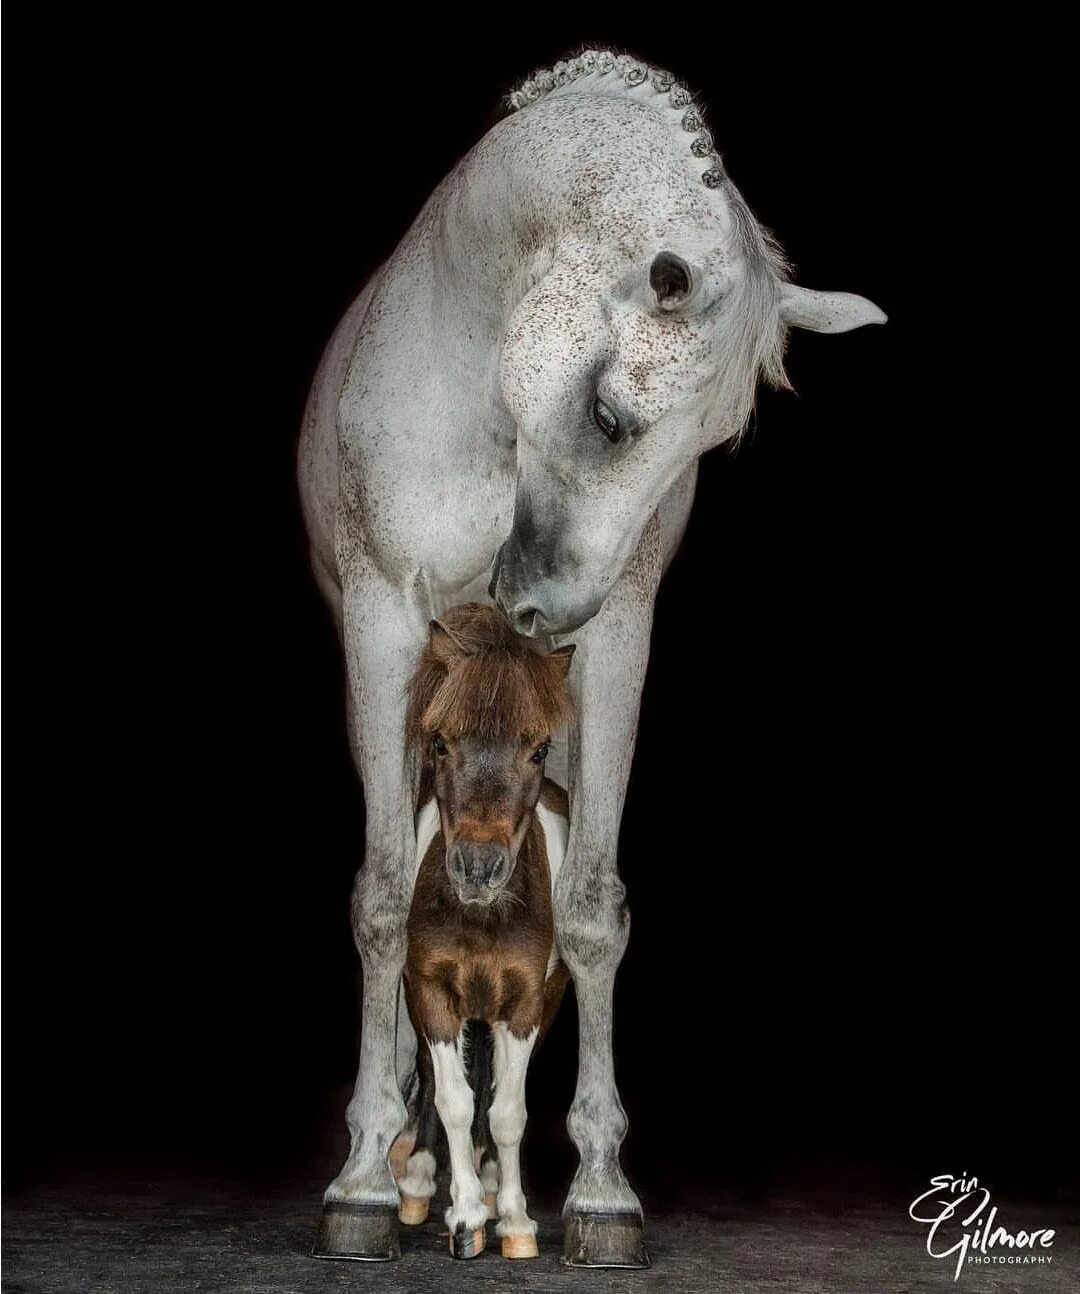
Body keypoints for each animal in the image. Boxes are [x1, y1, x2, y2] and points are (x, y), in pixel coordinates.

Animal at [395, 603, 574, 1260]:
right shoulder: (430, 991)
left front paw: (514, 1221)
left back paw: (495, 1183)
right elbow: (451, 1097)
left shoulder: (523, 1004)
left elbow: (506, 1112)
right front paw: (465, 1215)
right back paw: (424, 1183)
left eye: (540, 748)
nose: (477, 867)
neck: (484, 919)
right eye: (440, 742)